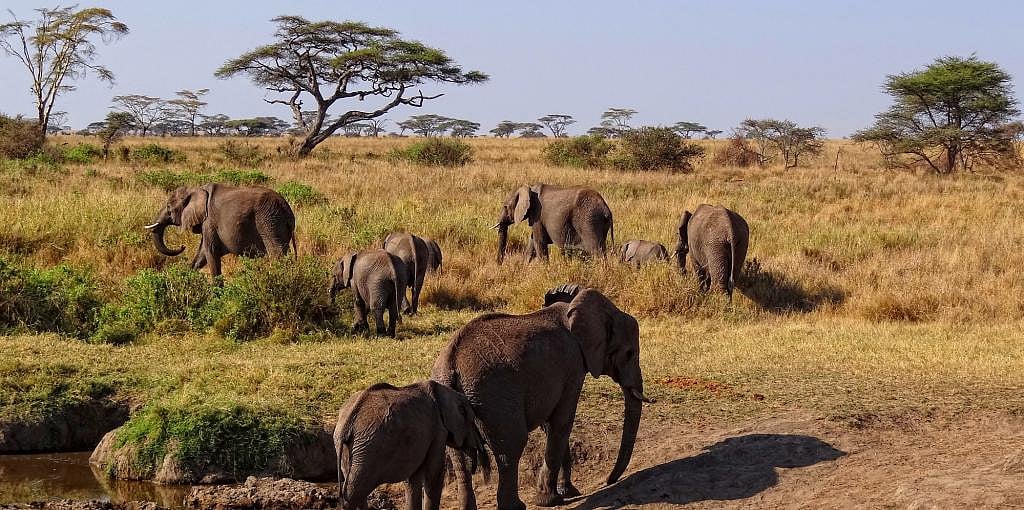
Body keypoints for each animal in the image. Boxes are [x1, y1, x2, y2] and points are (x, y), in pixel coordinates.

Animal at [144, 184, 296, 278]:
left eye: (169, 207)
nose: (182, 246)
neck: (196, 189)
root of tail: (287, 211)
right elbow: (202, 253)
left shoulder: (209, 221)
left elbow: (210, 251)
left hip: (269, 222)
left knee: (277, 254)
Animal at [334, 380, 490, 510]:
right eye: (472, 421)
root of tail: (347, 424)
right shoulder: (438, 430)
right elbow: (434, 474)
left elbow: (412, 480)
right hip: (368, 447)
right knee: (354, 491)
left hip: (352, 448)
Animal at [432, 286, 652, 510]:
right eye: (629, 353)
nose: (609, 480)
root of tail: (450, 365)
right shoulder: (573, 365)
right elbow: (562, 422)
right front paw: (549, 500)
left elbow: (550, 425)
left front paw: (568, 492)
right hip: (493, 398)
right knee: (510, 449)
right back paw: (517, 506)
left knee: (461, 458)